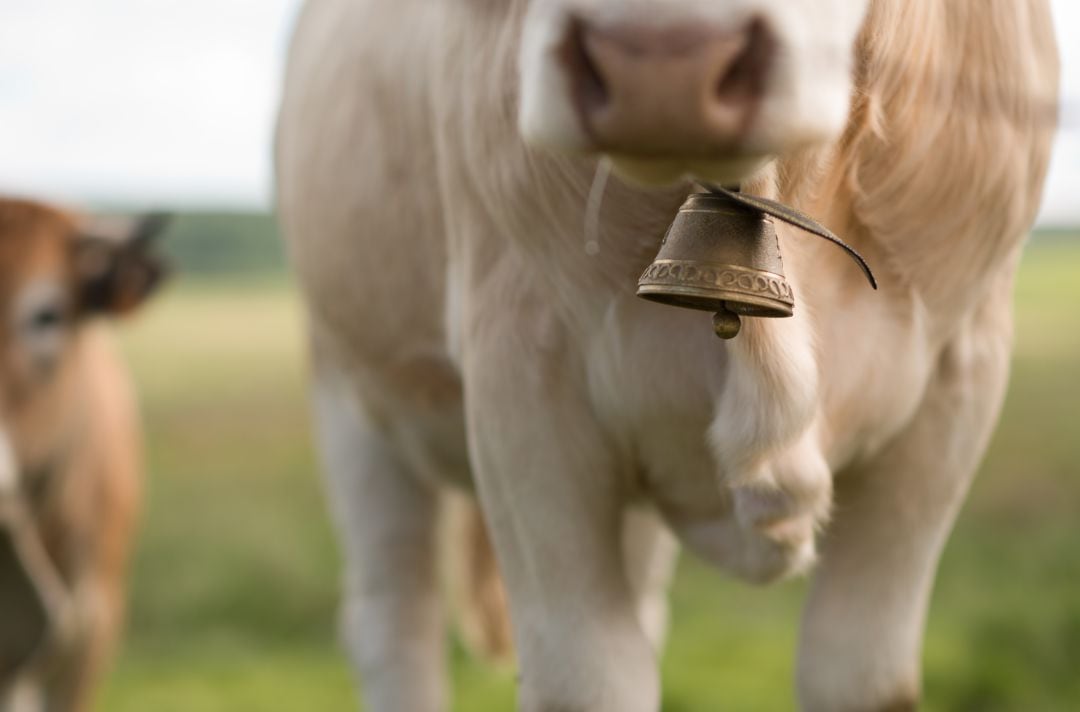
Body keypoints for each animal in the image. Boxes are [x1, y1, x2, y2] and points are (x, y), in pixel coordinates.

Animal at [274, 0, 1058, 708]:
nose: (661, 65)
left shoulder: (958, 381)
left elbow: (858, 673)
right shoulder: (519, 376)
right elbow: (587, 678)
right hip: (347, 391)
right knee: (394, 620)